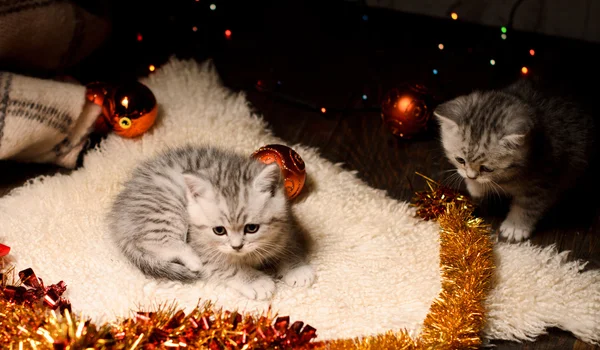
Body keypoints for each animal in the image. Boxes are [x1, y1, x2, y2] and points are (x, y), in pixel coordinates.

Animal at [108, 144, 316, 300]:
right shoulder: (202, 245)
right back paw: (192, 259)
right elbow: (228, 267)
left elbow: (290, 245)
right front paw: (256, 281)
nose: (237, 246)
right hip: (167, 208)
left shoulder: (288, 224)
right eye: (219, 230)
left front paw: (297, 269)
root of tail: (118, 220)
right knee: (151, 241)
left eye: (252, 228)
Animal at [434, 80, 592, 242]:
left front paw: (516, 227)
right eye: (460, 160)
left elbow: (528, 205)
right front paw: (475, 186)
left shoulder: (543, 181)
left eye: (487, 168)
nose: (471, 177)